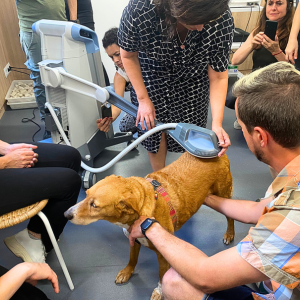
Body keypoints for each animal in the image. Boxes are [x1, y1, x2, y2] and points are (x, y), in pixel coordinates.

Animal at [65, 152, 234, 300]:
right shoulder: (133, 240)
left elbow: (162, 276)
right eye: (86, 194)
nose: (66, 214)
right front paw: (127, 272)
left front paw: (160, 292)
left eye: (94, 205)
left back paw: (230, 234)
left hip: (223, 194)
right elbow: (132, 258)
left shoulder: (163, 255)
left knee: (230, 216)